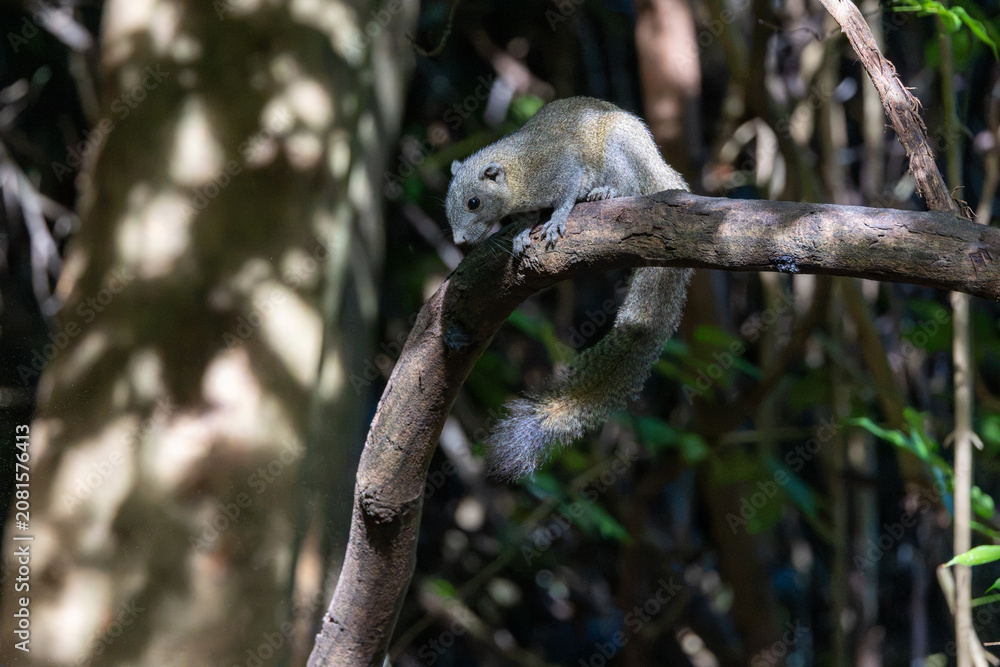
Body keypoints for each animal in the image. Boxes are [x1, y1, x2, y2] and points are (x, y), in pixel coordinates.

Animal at [446, 96, 692, 480]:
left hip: (621, 152)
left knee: (630, 188)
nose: (458, 240)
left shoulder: (563, 170)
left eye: (474, 202)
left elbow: (565, 197)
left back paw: (604, 191)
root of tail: (661, 170)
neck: (519, 171)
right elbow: (529, 218)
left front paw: (557, 219)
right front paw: (522, 230)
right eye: (448, 201)